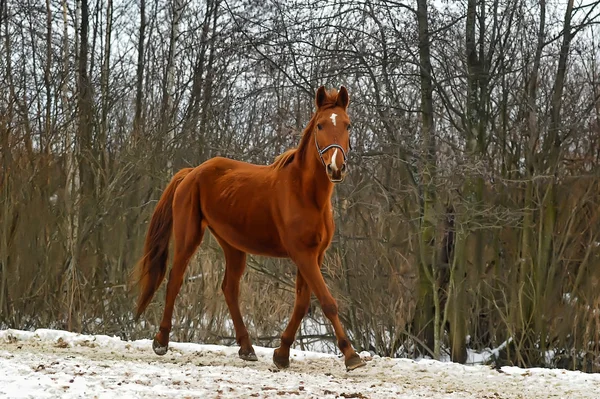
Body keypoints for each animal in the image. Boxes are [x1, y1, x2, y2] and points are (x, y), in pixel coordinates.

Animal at [132, 84, 366, 372]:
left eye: (347, 125)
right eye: (321, 125)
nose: (336, 167)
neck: (305, 193)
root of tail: (191, 172)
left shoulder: (314, 255)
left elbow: (302, 303)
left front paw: (282, 354)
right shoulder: (303, 255)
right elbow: (327, 302)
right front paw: (351, 355)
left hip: (232, 245)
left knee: (229, 289)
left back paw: (246, 348)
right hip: (189, 237)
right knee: (175, 278)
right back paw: (161, 341)